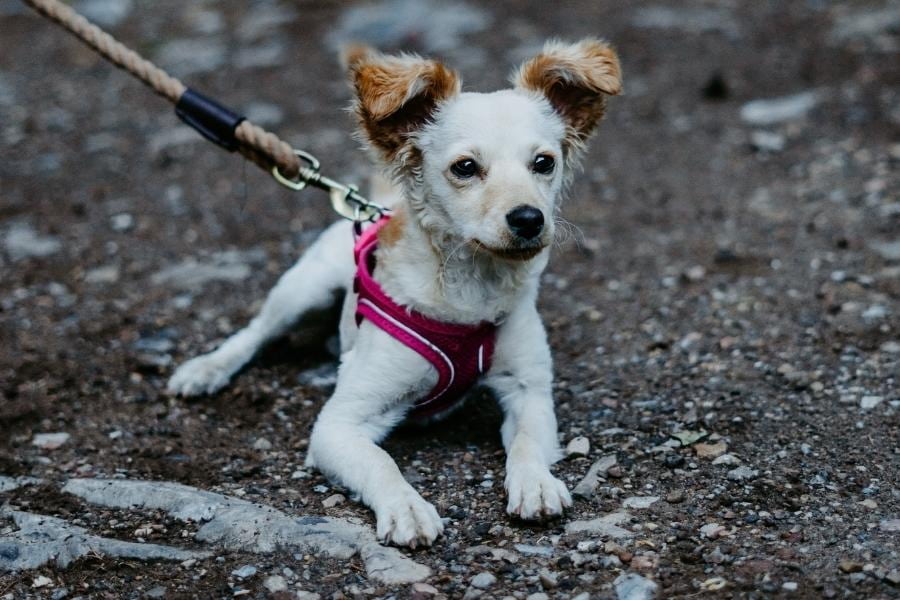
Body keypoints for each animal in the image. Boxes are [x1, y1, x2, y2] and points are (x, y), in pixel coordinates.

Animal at [167, 39, 620, 548]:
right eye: (465, 167)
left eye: (544, 162)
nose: (528, 219)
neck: (470, 290)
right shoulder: (338, 425)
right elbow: (381, 463)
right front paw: (407, 507)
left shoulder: (530, 392)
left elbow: (526, 443)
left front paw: (535, 483)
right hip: (303, 289)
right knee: (255, 332)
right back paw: (207, 369)